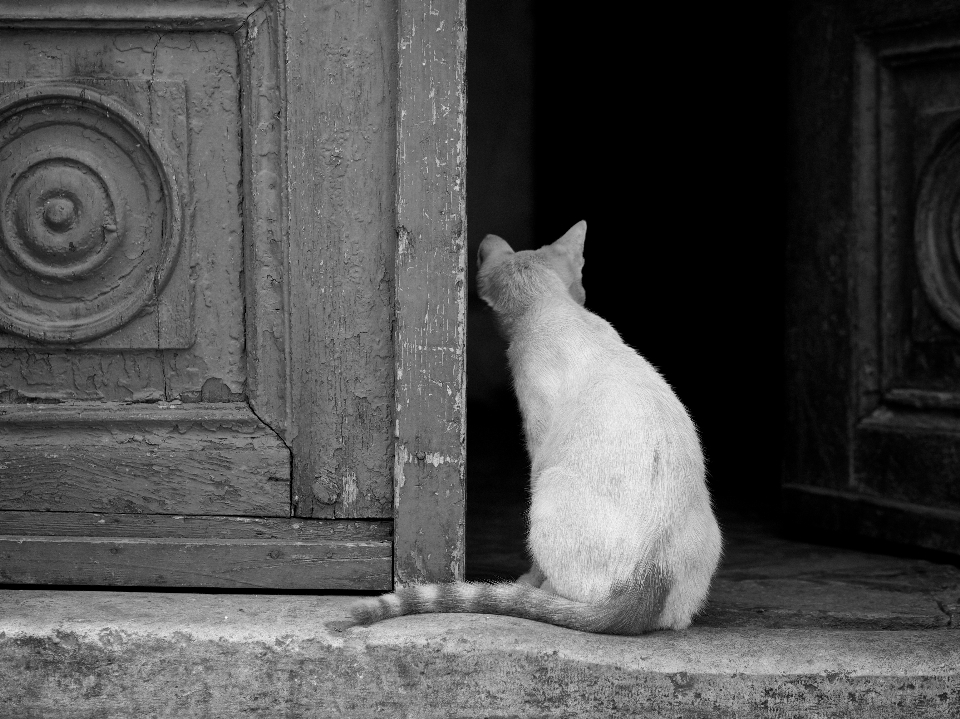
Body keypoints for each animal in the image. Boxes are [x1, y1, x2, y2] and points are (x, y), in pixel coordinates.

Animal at [352, 222, 720, 632]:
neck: (554, 306)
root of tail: (651, 573)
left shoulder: (539, 444)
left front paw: (529, 580)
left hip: (549, 487)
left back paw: (539, 591)